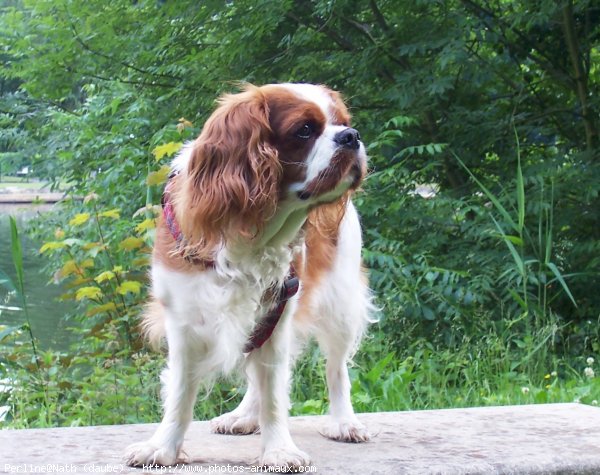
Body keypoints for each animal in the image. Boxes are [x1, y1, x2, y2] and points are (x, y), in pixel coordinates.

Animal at [124, 83, 372, 470]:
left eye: (344, 122)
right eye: (304, 130)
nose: (352, 135)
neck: (249, 230)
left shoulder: (279, 309)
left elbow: (274, 394)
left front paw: (278, 450)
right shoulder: (183, 320)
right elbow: (180, 394)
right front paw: (162, 448)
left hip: (339, 304)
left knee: (336, 370)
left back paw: (344, 422)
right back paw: (244, 416)